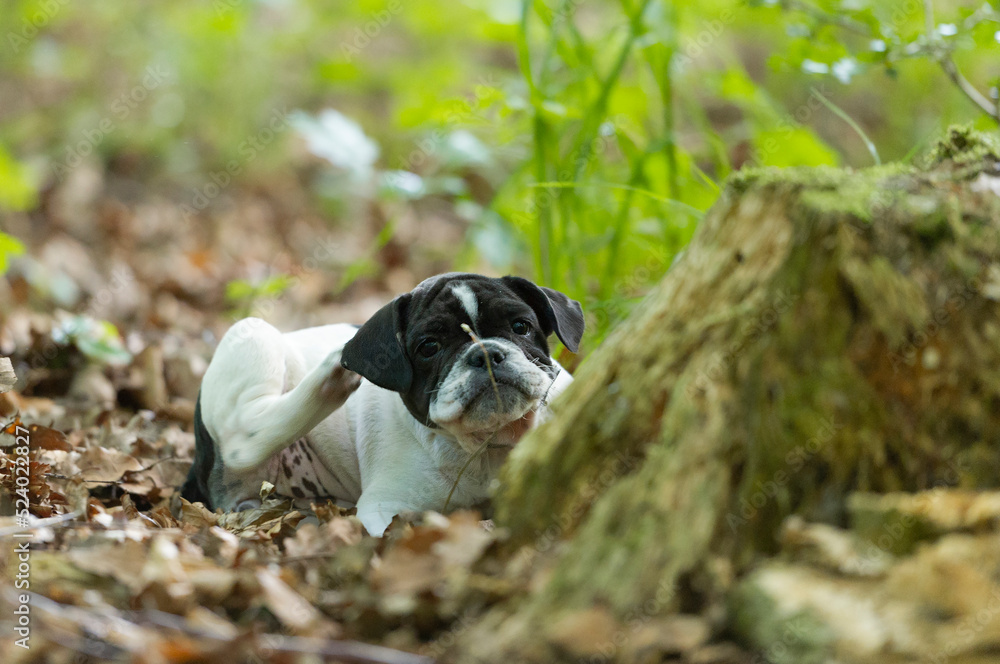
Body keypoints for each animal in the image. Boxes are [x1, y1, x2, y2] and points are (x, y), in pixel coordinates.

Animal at [184, 272, 584, 536]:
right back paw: (333, 374)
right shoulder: (381, 509)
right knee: (244, 438)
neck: (489, 445)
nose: (485, 352)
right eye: (429, 347)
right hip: (253, 336)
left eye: (521, 327)